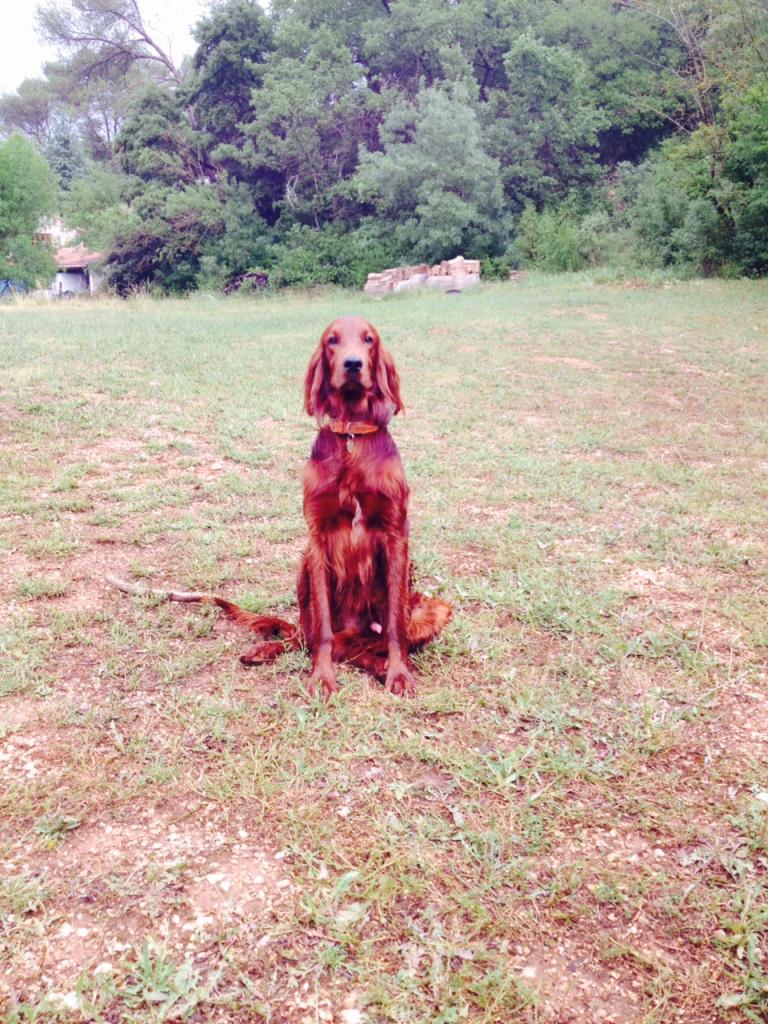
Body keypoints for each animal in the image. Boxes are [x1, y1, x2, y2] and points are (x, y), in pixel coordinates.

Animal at [107, 315, 450, 700]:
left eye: (369, 340)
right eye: (332, 341)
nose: (352, 364)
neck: (350, 436)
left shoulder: (396, 534)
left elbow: (394, 626)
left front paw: (399, 674)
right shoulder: (317, 539)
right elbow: (322, 630)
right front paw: (322, 678)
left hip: (433, 606)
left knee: (359, 646)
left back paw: (377, 665)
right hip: (302, 565)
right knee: (310, 638)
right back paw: (266, 649)